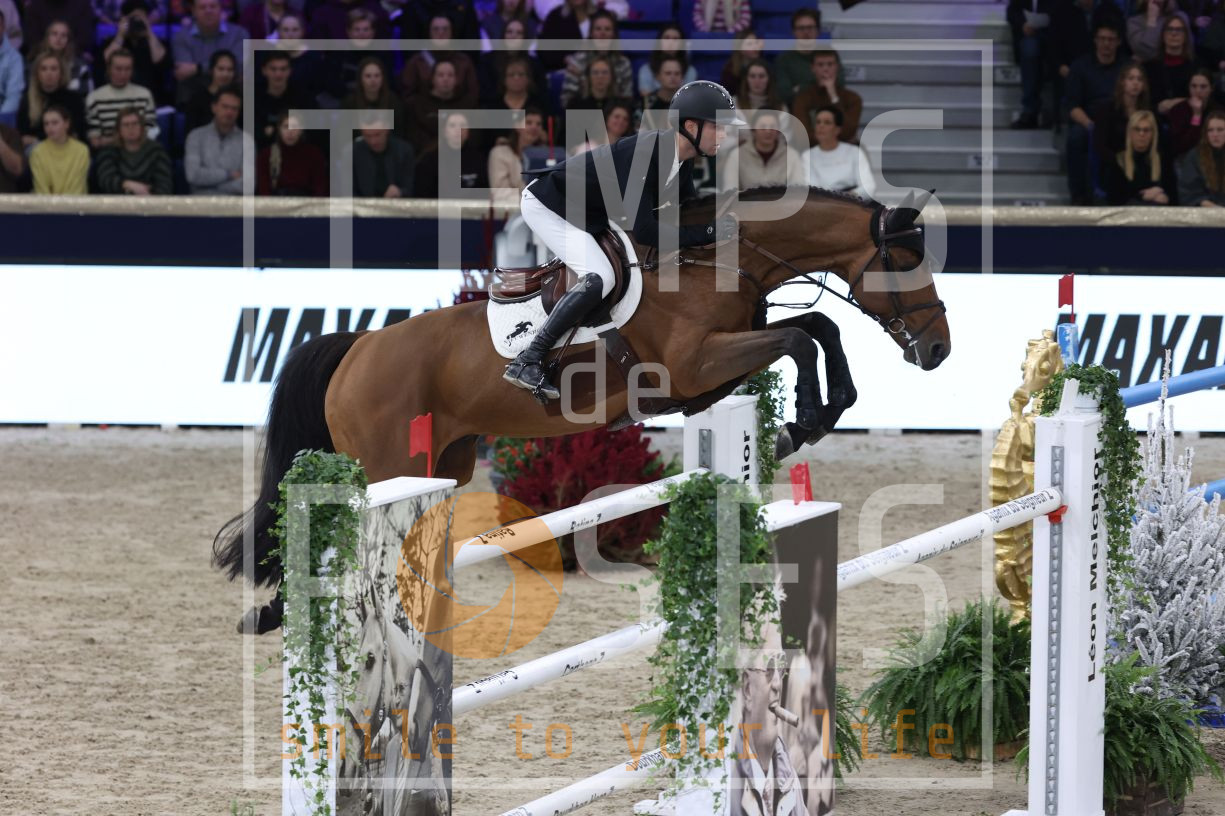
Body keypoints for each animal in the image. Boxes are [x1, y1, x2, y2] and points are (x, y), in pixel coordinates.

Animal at [214, 185, 950, 596]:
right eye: (908, 261)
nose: (939, 350)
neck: (715, 261)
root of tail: (358, 348)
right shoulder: (695, 364)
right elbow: (801, 337)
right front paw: (799, 423)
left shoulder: (720, 363)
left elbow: (817, 326)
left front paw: (820, 412)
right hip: (386, 462)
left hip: (445, 462)